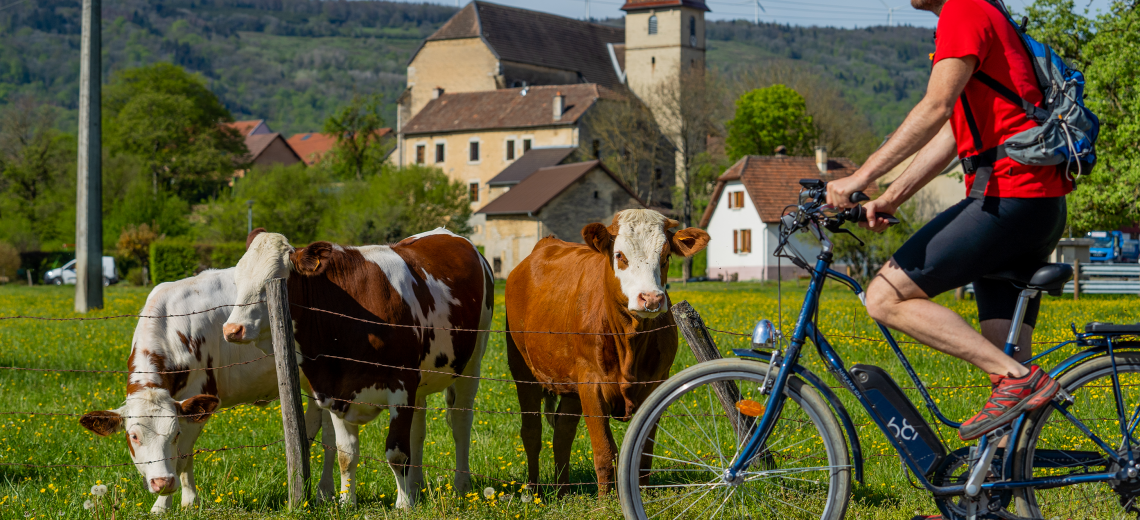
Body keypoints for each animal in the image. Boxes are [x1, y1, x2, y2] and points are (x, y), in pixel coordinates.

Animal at [78, 267, 335, 510]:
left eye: (175, 434)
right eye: (133, 436)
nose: (162, 482)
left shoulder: (196, 400)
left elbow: (182, 458)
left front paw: (170, 504)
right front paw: (182, 502)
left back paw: (327, 492)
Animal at [220, 228, 492, 508]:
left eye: (273, 281)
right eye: (238, 281)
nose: (232, 329)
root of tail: (446, 233)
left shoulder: (402, 383)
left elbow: (396, 452)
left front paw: (403, 504)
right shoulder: (336, 391)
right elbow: (345, 453)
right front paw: (345, 501)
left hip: (473, 360)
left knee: (460, 423)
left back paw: (461, 485)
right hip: (422, 381)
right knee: (418, 430)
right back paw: (417, 487)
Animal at [506, 208, 706, 494]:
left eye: (666, 256)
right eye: (620, 255)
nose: (651, 298)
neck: (630, 342)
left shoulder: (656, 382)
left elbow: (643, 453)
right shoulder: (591, 384)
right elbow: (603, 451)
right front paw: (605, 501)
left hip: (570, 384)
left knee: (563, 431)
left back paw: (563, 491)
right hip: (522, 369)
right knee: (531, 431)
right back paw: (533, 491)